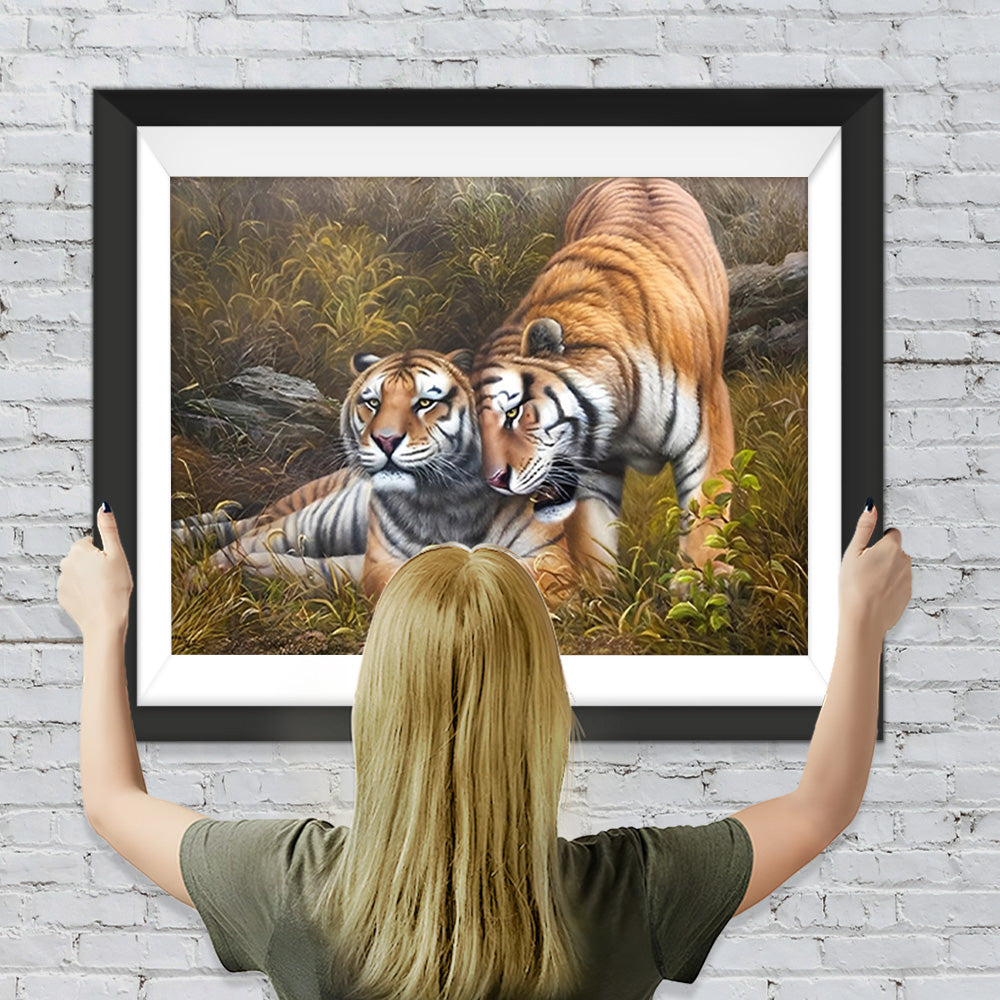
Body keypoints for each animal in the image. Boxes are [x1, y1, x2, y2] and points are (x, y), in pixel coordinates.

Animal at [178, 349, 575, 608]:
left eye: (425, 403)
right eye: (372, 403)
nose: (385, 440)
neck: (449, 499)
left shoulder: (553, 560)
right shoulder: (384, 562)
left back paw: (253, 573)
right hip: (311, 520)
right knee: (240, 536)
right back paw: (200, 575)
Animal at [471, 176, 736, 576]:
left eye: (513, 412)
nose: (494, 481)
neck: (624, 416)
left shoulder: (710, 425)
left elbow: (707, 519)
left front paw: (702, 583)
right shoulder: (595, 470)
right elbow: (591, 542)